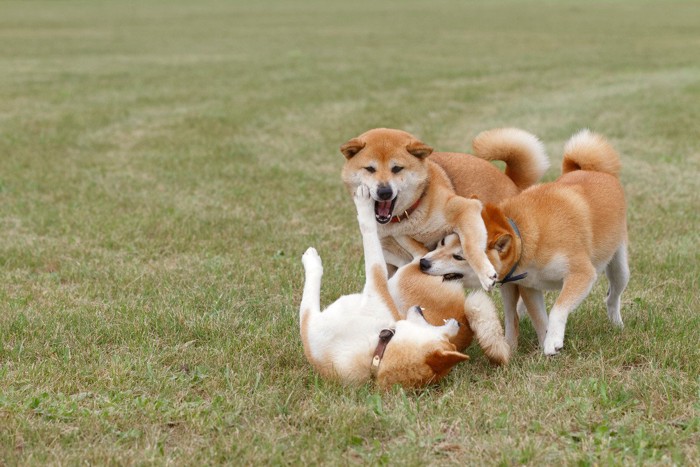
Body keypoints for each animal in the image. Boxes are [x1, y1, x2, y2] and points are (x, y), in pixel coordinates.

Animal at [340, 128, 548, 292]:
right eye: (370, 168)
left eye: (397, 168)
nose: (384, 191)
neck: (413, 212)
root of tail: (510, 180)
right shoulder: (394, 245)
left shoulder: (466, 208)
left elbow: (470, 247)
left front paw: (485, 273)